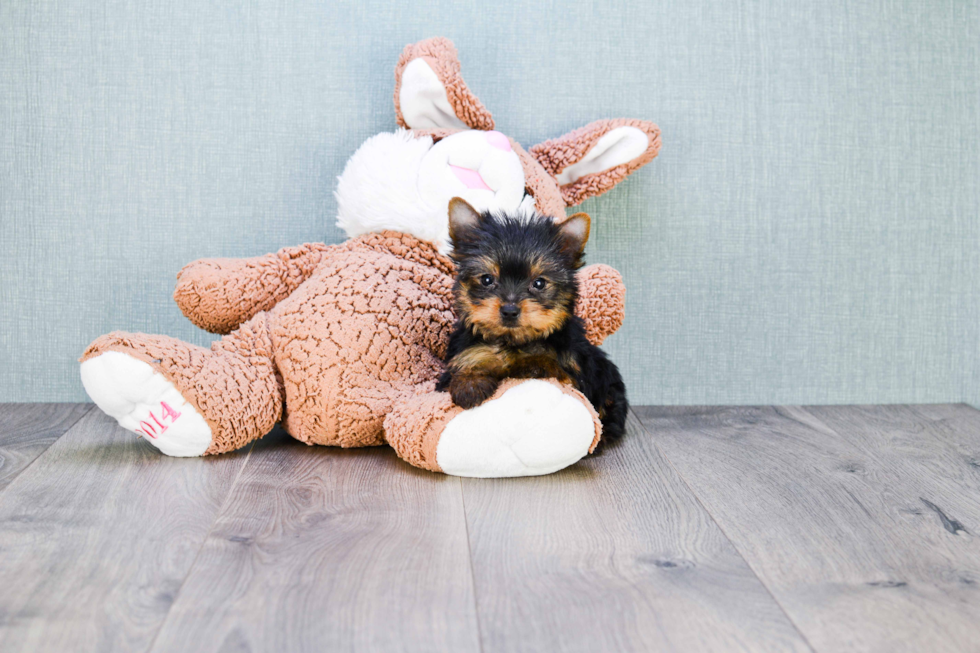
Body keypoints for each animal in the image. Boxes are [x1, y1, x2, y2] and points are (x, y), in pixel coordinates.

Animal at [436, 197, 628, 444]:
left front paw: (533, 363)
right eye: (487, 279)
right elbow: (469, 365)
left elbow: (550, 365)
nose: (509, 310)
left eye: (539, 283)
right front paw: (469, 384)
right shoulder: (465, 354)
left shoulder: (573, 371)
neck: (513, 341)